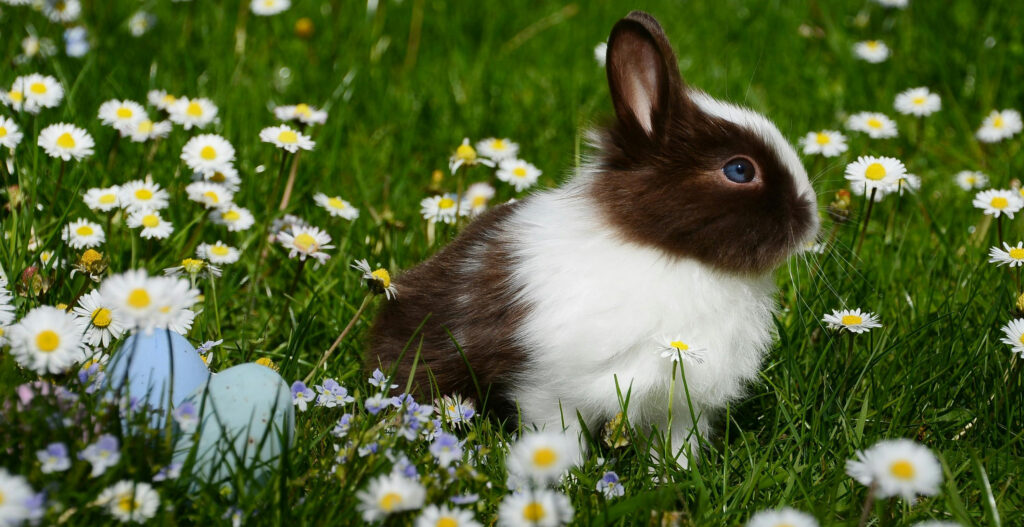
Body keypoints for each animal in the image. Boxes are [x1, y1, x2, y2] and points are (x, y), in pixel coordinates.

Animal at [367, 10, 819, 467]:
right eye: (740, 170)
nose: (811, 218)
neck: (668, 253)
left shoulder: (681, 404)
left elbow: (675, 445)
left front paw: (670, 475)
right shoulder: (550, 389)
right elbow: (557, 438)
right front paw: (562, 476)